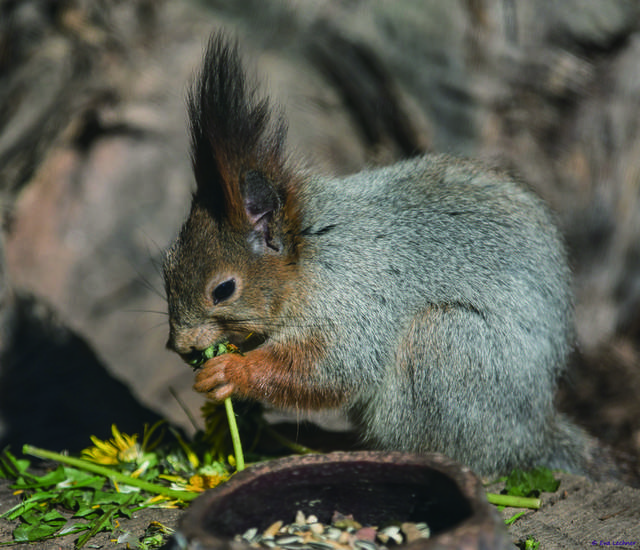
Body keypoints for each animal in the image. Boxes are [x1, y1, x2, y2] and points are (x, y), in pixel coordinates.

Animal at [162, 33, 592, 478]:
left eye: (223, 290)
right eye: (168, 265)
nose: (180, 346)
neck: (311, 255)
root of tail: (530, 440)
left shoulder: (354, 298)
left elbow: (330, 368)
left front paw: (228, 370)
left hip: (449, 347)